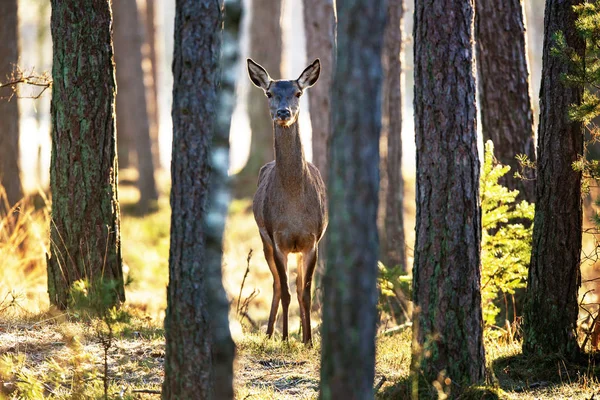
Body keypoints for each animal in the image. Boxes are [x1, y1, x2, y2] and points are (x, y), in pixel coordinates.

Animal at [245, 57, 326, 346]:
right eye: (270, 93)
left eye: (298, 93)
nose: (283, 112)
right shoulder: (277, 238)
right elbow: (287, 290)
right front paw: (285, 339)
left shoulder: (312, 241)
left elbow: (305, 292)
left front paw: (308, 340)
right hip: (264, 238)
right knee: (277, 285)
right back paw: (271, 333)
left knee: (297, 285)